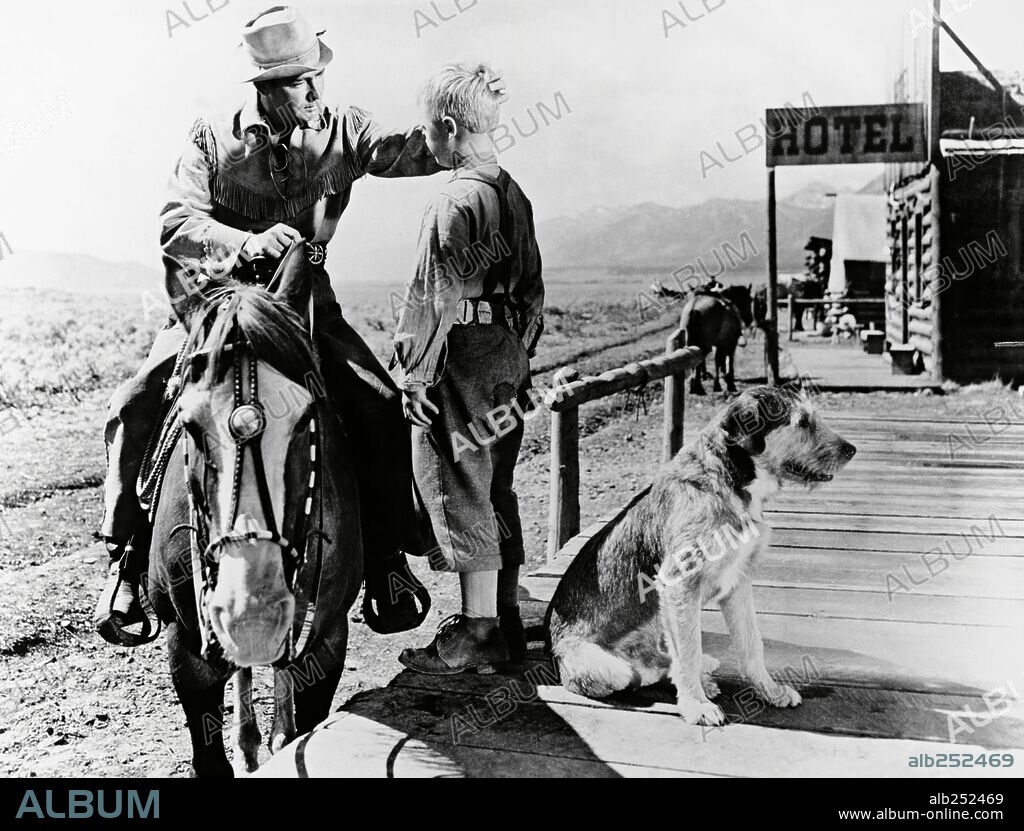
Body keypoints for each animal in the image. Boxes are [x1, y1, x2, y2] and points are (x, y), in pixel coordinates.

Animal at [148, 243, 362, 777]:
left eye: (307, 417)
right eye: (190, 424)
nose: (254, 616)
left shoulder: (326, 642)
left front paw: (286, 734)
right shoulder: (187, 649)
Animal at [544, 386, 856, 724]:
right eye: (802, 422)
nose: (852, 450)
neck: (728, 485)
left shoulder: (738, 584)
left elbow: (751, 645)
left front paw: (770, 691)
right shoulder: (679, 585)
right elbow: (688, 653)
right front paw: (696, 705)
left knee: (663, 659)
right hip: (611, 667)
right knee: (643, 673)